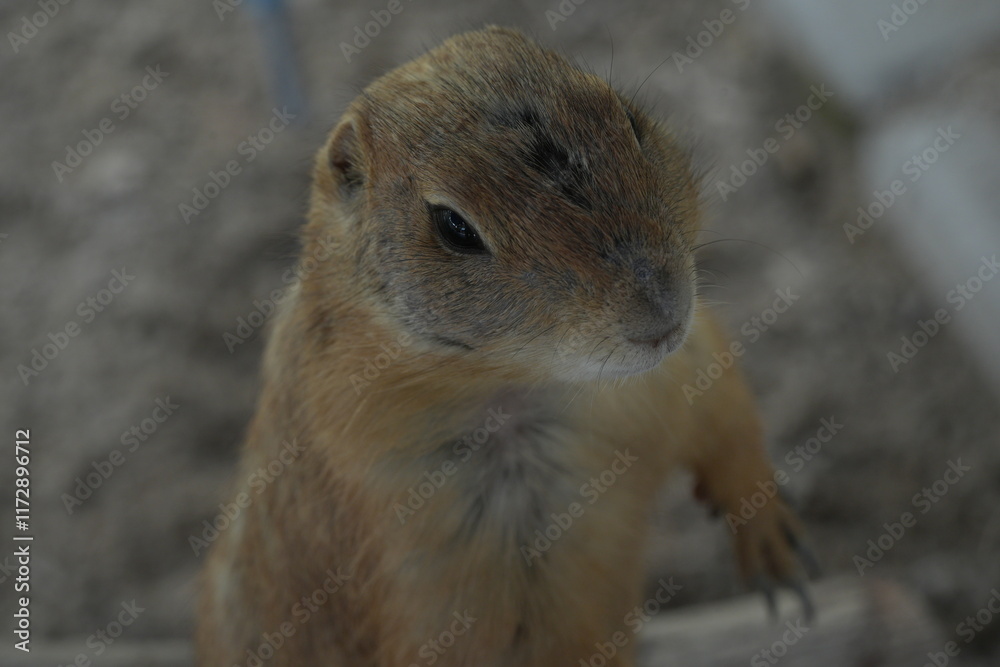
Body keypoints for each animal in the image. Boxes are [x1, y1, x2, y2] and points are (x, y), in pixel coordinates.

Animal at [196, 26, 814, 667]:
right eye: (453, 226)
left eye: (630, 118)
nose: (663, 307)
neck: (534, 381)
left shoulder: (687, 361)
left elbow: (728, 421)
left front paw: (777, 545)